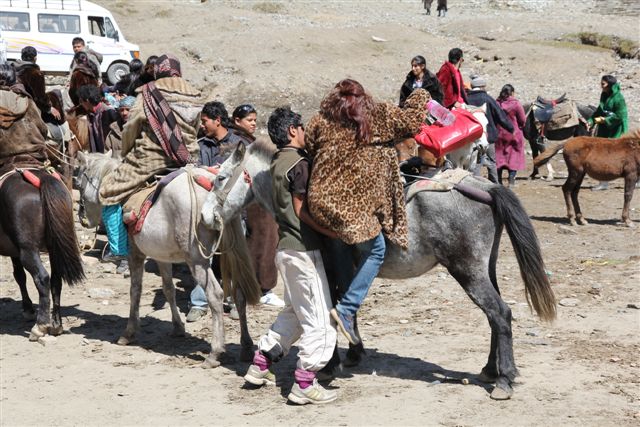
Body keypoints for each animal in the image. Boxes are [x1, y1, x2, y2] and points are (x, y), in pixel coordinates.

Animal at [0, 171, 84, 342]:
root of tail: (42, 178)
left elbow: (19, 276)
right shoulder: (14, 252)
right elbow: (19, 276)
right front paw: (28, 309)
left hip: (29, 250)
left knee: (42, 278)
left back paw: (40, 326)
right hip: (53, 249)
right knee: (56, 281)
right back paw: (56, 325)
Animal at [76, 154, 262, 368]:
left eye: (79, 184)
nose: (81, 217)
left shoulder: (135, 255)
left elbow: (135, 290)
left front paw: (129, 332)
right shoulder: (161, 257)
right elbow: (168, 289)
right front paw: (178, 327)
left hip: (198, 261)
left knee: (215, 295)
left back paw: (215, 352)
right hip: (231, 253)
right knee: (239, 294)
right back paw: (246, 346)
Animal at [204, 140, 556, 402]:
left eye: (220, 178)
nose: (207, 216)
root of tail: (485, 187)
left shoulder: (331, 269)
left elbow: (334, 309)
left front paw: (331, 364)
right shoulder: (343, 271)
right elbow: (344, 309)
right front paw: (352, 352)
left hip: (468, 271)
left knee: (500, 313)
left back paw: (503, 381)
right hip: (485, 269)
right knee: (495, 317)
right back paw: (490, 370)